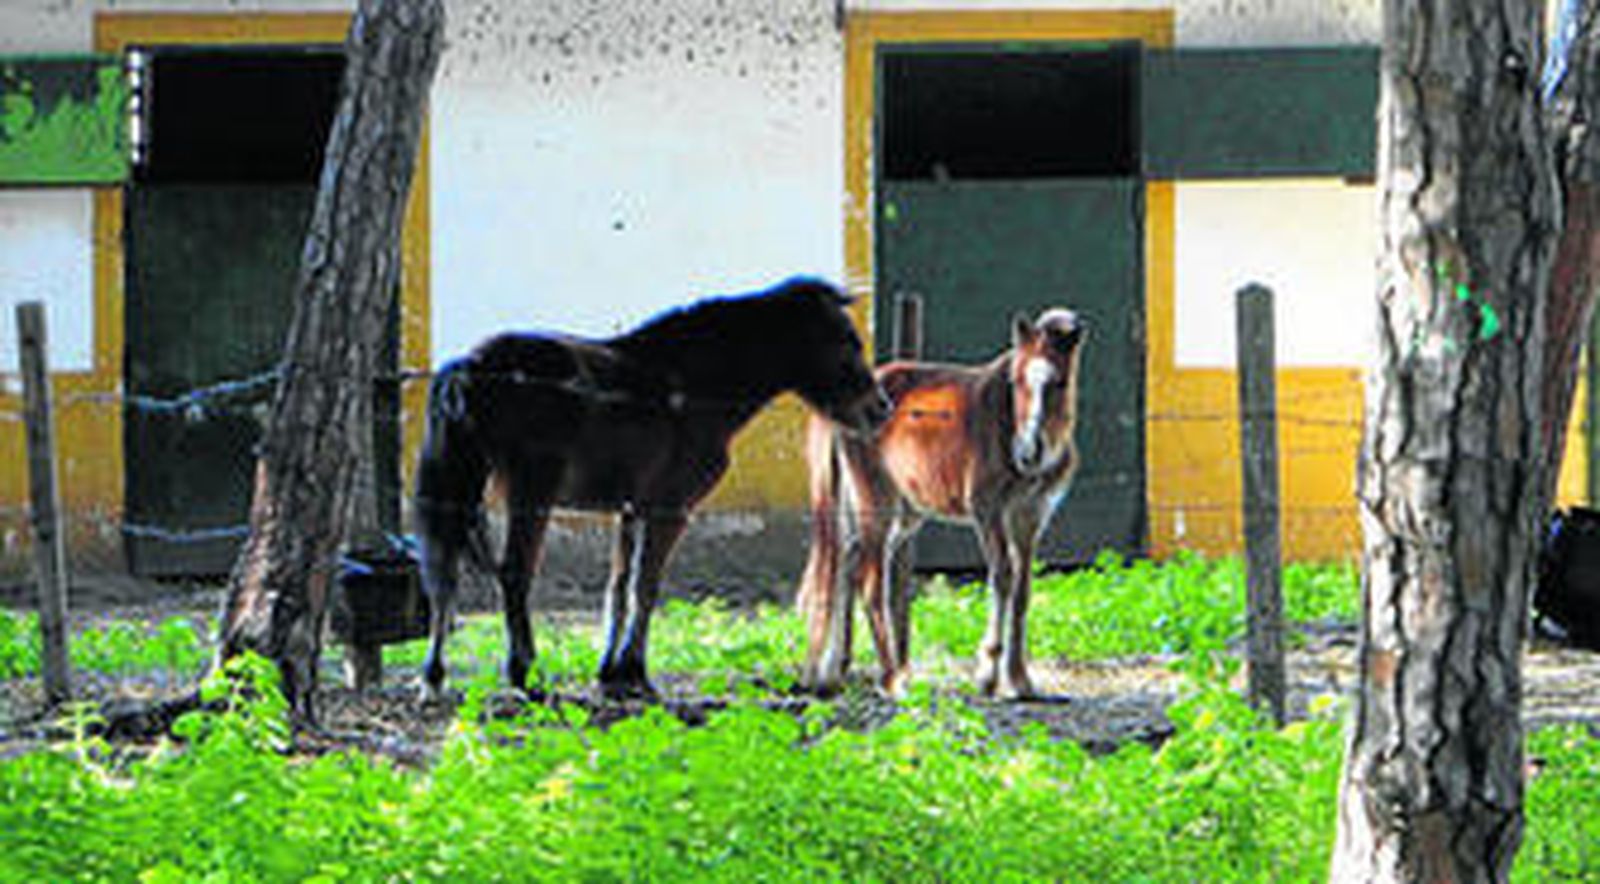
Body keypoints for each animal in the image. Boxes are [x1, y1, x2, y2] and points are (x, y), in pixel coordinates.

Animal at [414, 276, 888, 702]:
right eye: (846, 341)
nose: (879, 409)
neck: (687, 386)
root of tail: (470, 367)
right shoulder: (669, 509)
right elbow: (647, 586)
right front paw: (634, 673)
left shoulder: (631, 509)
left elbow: (620, 587)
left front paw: (610, 674)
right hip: (531, 493)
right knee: (513, 573)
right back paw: (524, 674)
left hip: (463, 489)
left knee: (444, 573)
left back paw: (434, 677)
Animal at [796, 308, 1086, 700]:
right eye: (1016, 382)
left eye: (1059, 383)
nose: (1028, 452)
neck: (1005, 423)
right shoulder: (987, 511)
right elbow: (1003, 577)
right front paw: (988, 674)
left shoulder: (1030, 517)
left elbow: (1022, 589)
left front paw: (1020, 679)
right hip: (878, 502)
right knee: (869, 580)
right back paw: (891, 679)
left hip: (900, 513)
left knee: (846, 559)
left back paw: (833, 672)